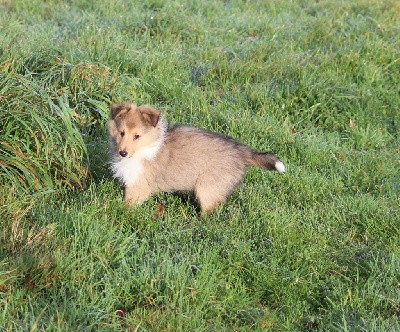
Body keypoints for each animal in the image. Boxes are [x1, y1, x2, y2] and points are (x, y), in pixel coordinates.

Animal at [108, 102, 284, 214]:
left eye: (137, 136)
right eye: (121, 132)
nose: (122, 153)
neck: (146, 146)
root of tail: (241, 150)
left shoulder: (140, 185)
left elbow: (128, 202)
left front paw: (120, 212)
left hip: (208, 188)